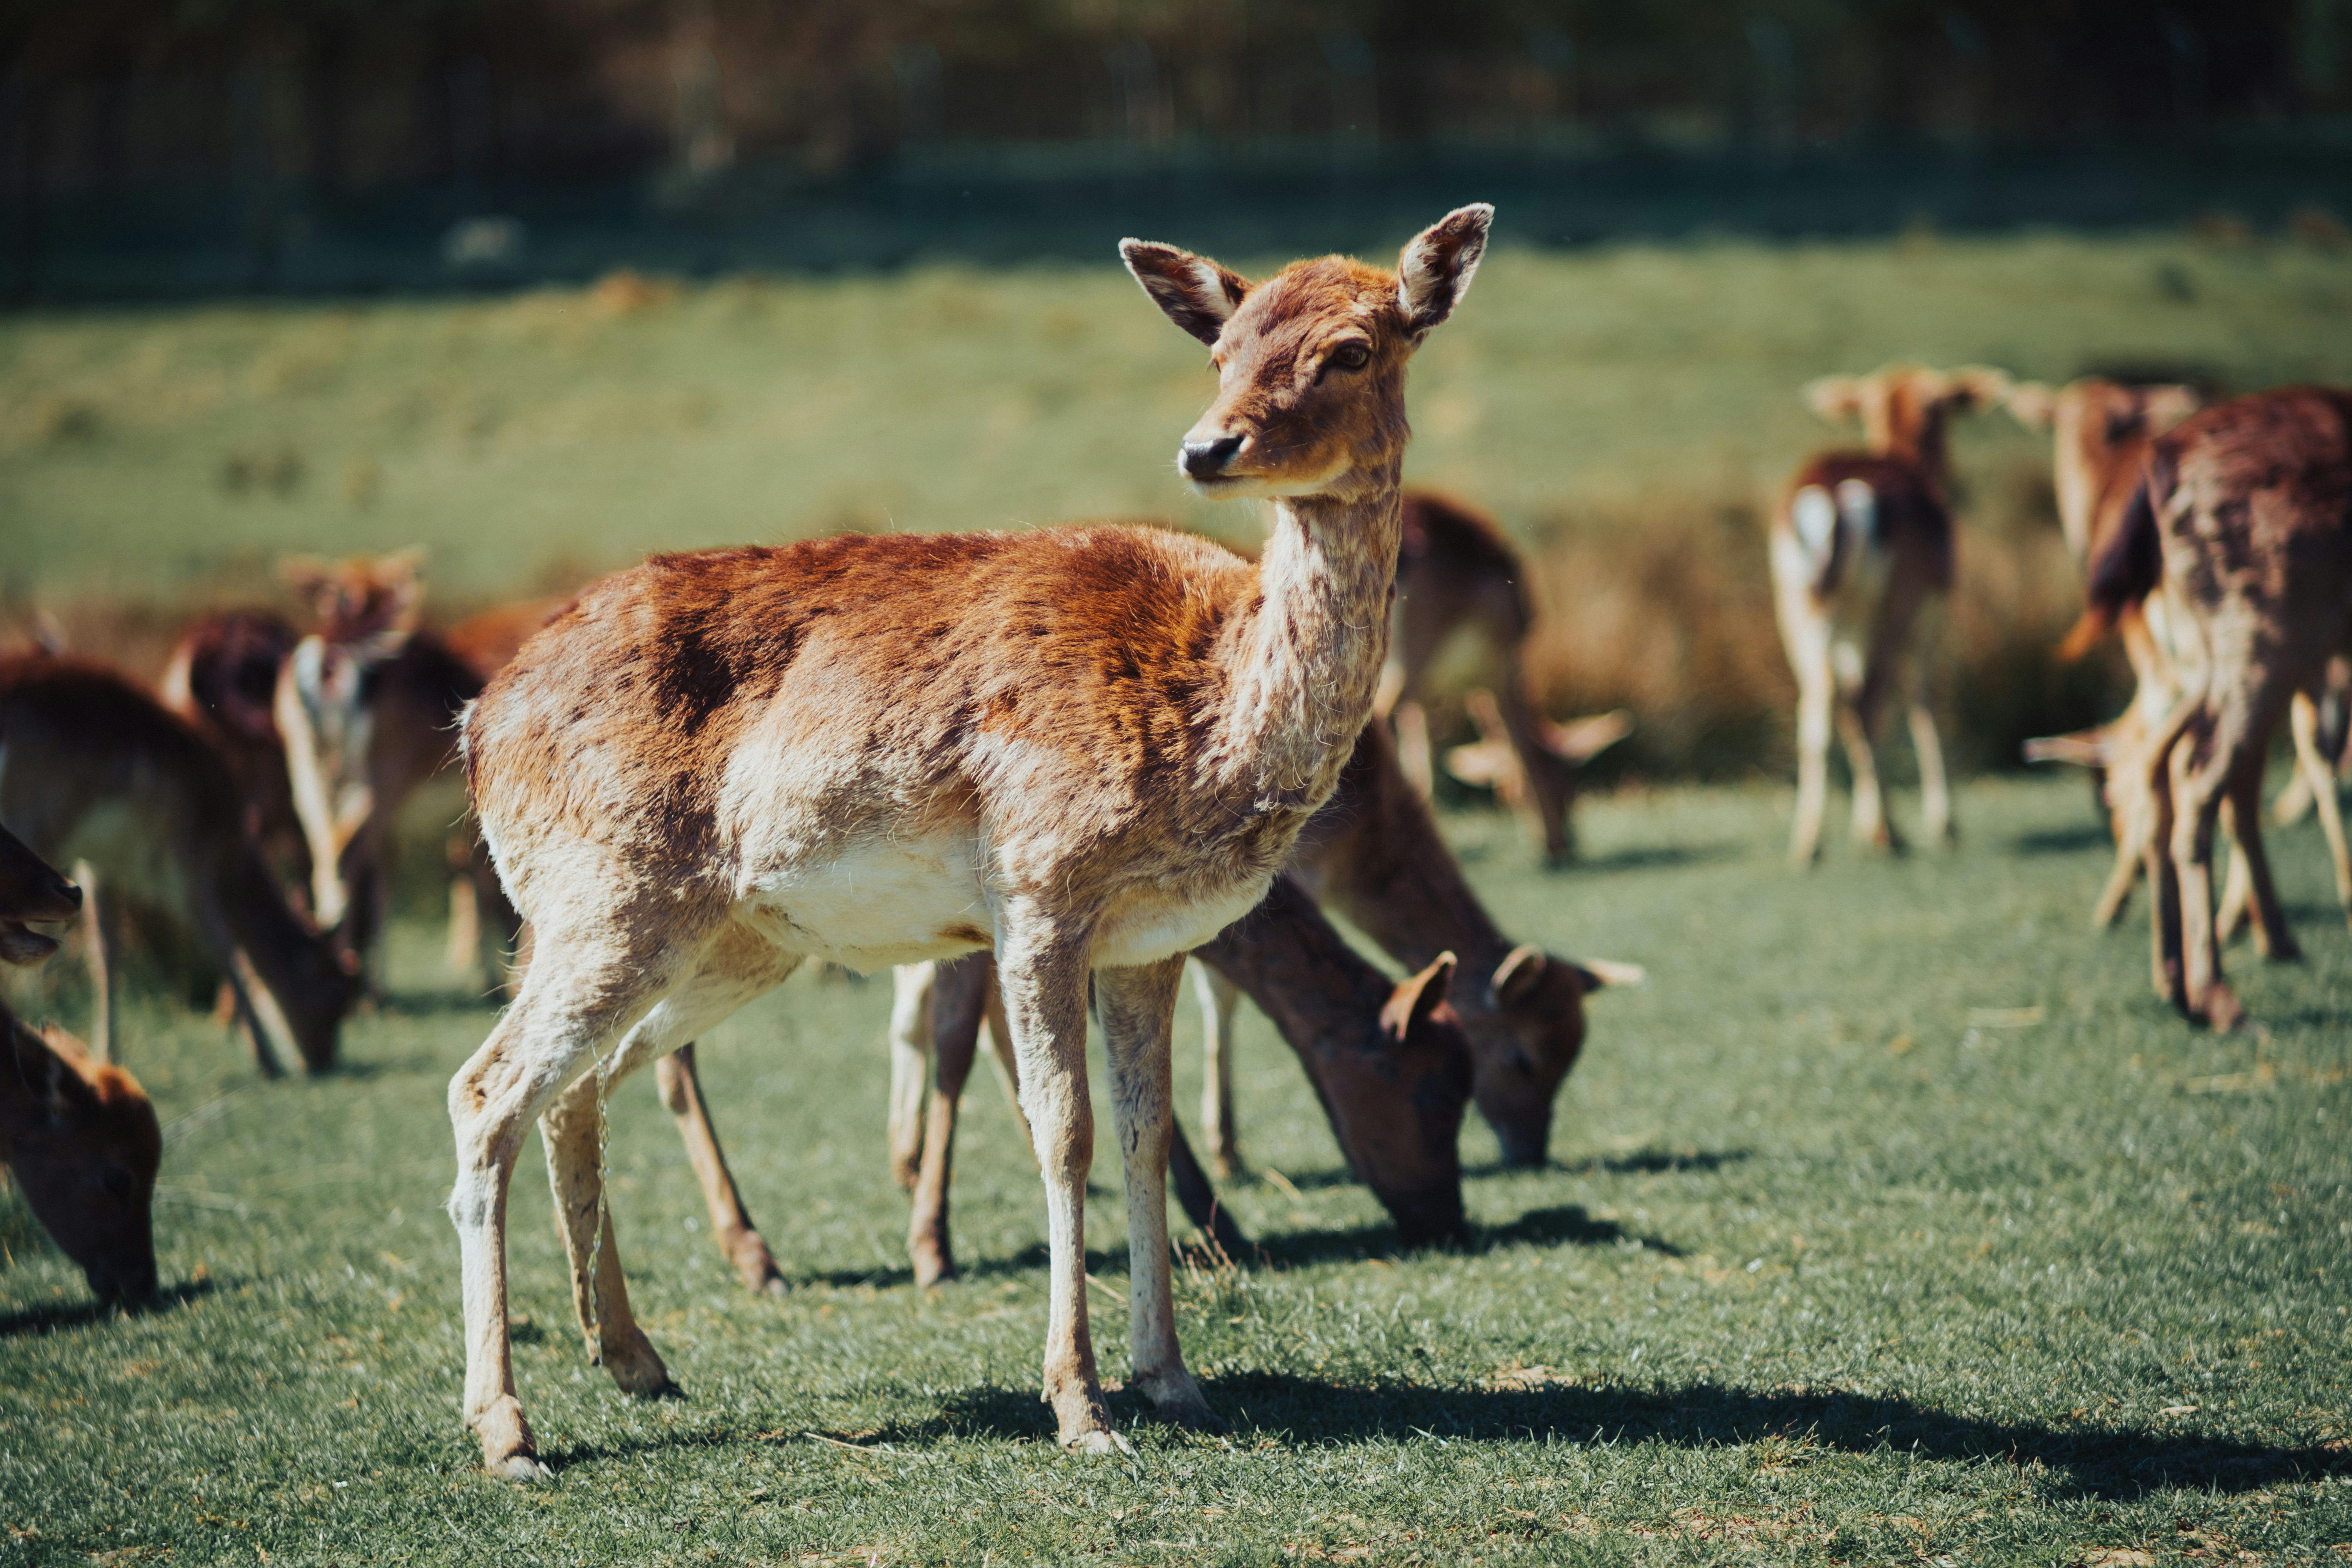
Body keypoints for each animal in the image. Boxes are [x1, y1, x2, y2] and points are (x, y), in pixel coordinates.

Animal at [0, 654, 359, 1075]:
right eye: (337, 999)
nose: (324, 1061)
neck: (230, 846)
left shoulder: (102, 861)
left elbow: (106, 951)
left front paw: (109, 1056)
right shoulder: (189, 853)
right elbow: (223, 944)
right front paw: (267, 1060)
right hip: (36, 815)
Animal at [442, 205, 1496, 1478]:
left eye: (1351, 348)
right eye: (1222, 347)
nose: (1210, 447)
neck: (1205, 712)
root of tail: (477, 720)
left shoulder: (1154, 939)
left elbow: (1144, 1134)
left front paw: (1174, 1379)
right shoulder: (1038, 884)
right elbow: (1063, 1130)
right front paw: (1082, 1407)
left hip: (727, 938)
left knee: (581, 1084)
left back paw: (636, 1359)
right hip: (603, 893)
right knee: (485, 1087)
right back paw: (508, 1430)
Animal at [1377, 491, 1632, 865]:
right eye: (1570, 787)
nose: (1569, 840)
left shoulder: (1429, 697)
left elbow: (1421, 751)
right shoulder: (1502, 673)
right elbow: (1521, 745)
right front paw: (1551, 846)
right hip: (1410, 658)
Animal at [1770, 363, 2011, 866]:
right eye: (1943, 407)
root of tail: (1834, 500)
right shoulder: (1932, 621)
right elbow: (1925, 705)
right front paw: (1943, 825)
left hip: (1798, 610)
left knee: (1818, 707)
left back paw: (1809, 842)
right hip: (1892, 609)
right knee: (1869, 704)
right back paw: (1888, 835)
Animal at [2076, 387, 2352, 1030]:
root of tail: (2163, 457)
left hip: (2221, 650)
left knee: (2175, 762)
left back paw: (2183, 976)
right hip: (2263, 626)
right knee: (2202, 775)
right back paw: (2217, 990)